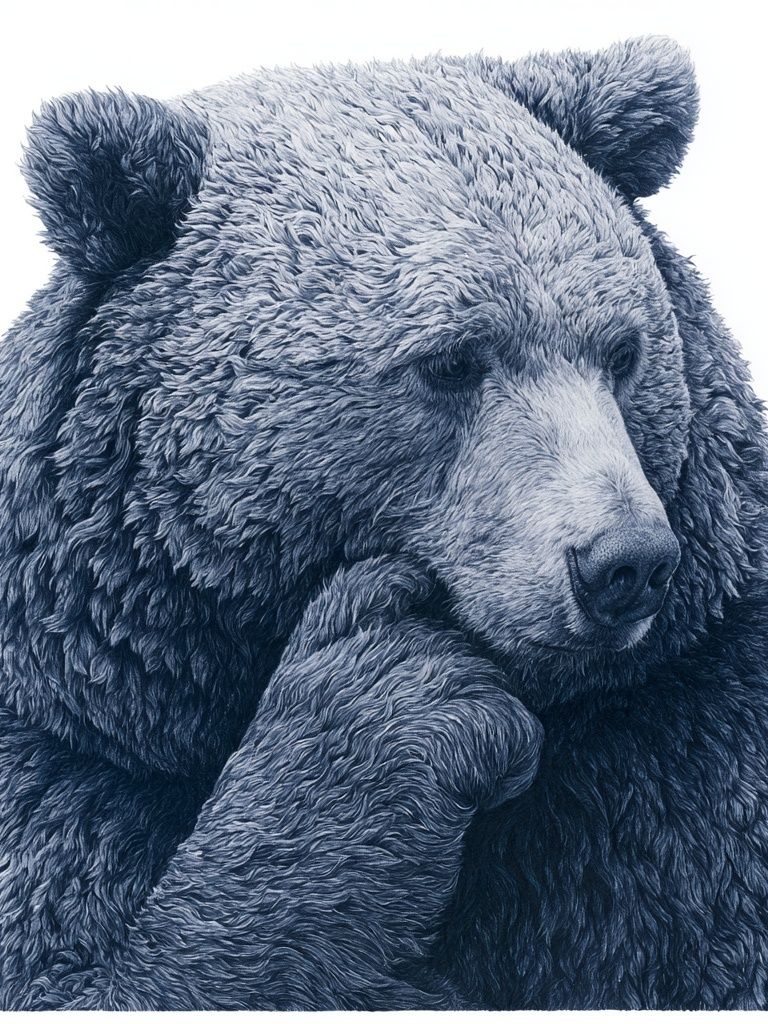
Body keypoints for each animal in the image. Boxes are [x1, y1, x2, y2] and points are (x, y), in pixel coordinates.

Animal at [1, 34, 768, 1010]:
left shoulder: (680, 761)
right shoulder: (72, 756)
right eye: (452, 361)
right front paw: (389, 706)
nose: (624, 562)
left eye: (624, 351)